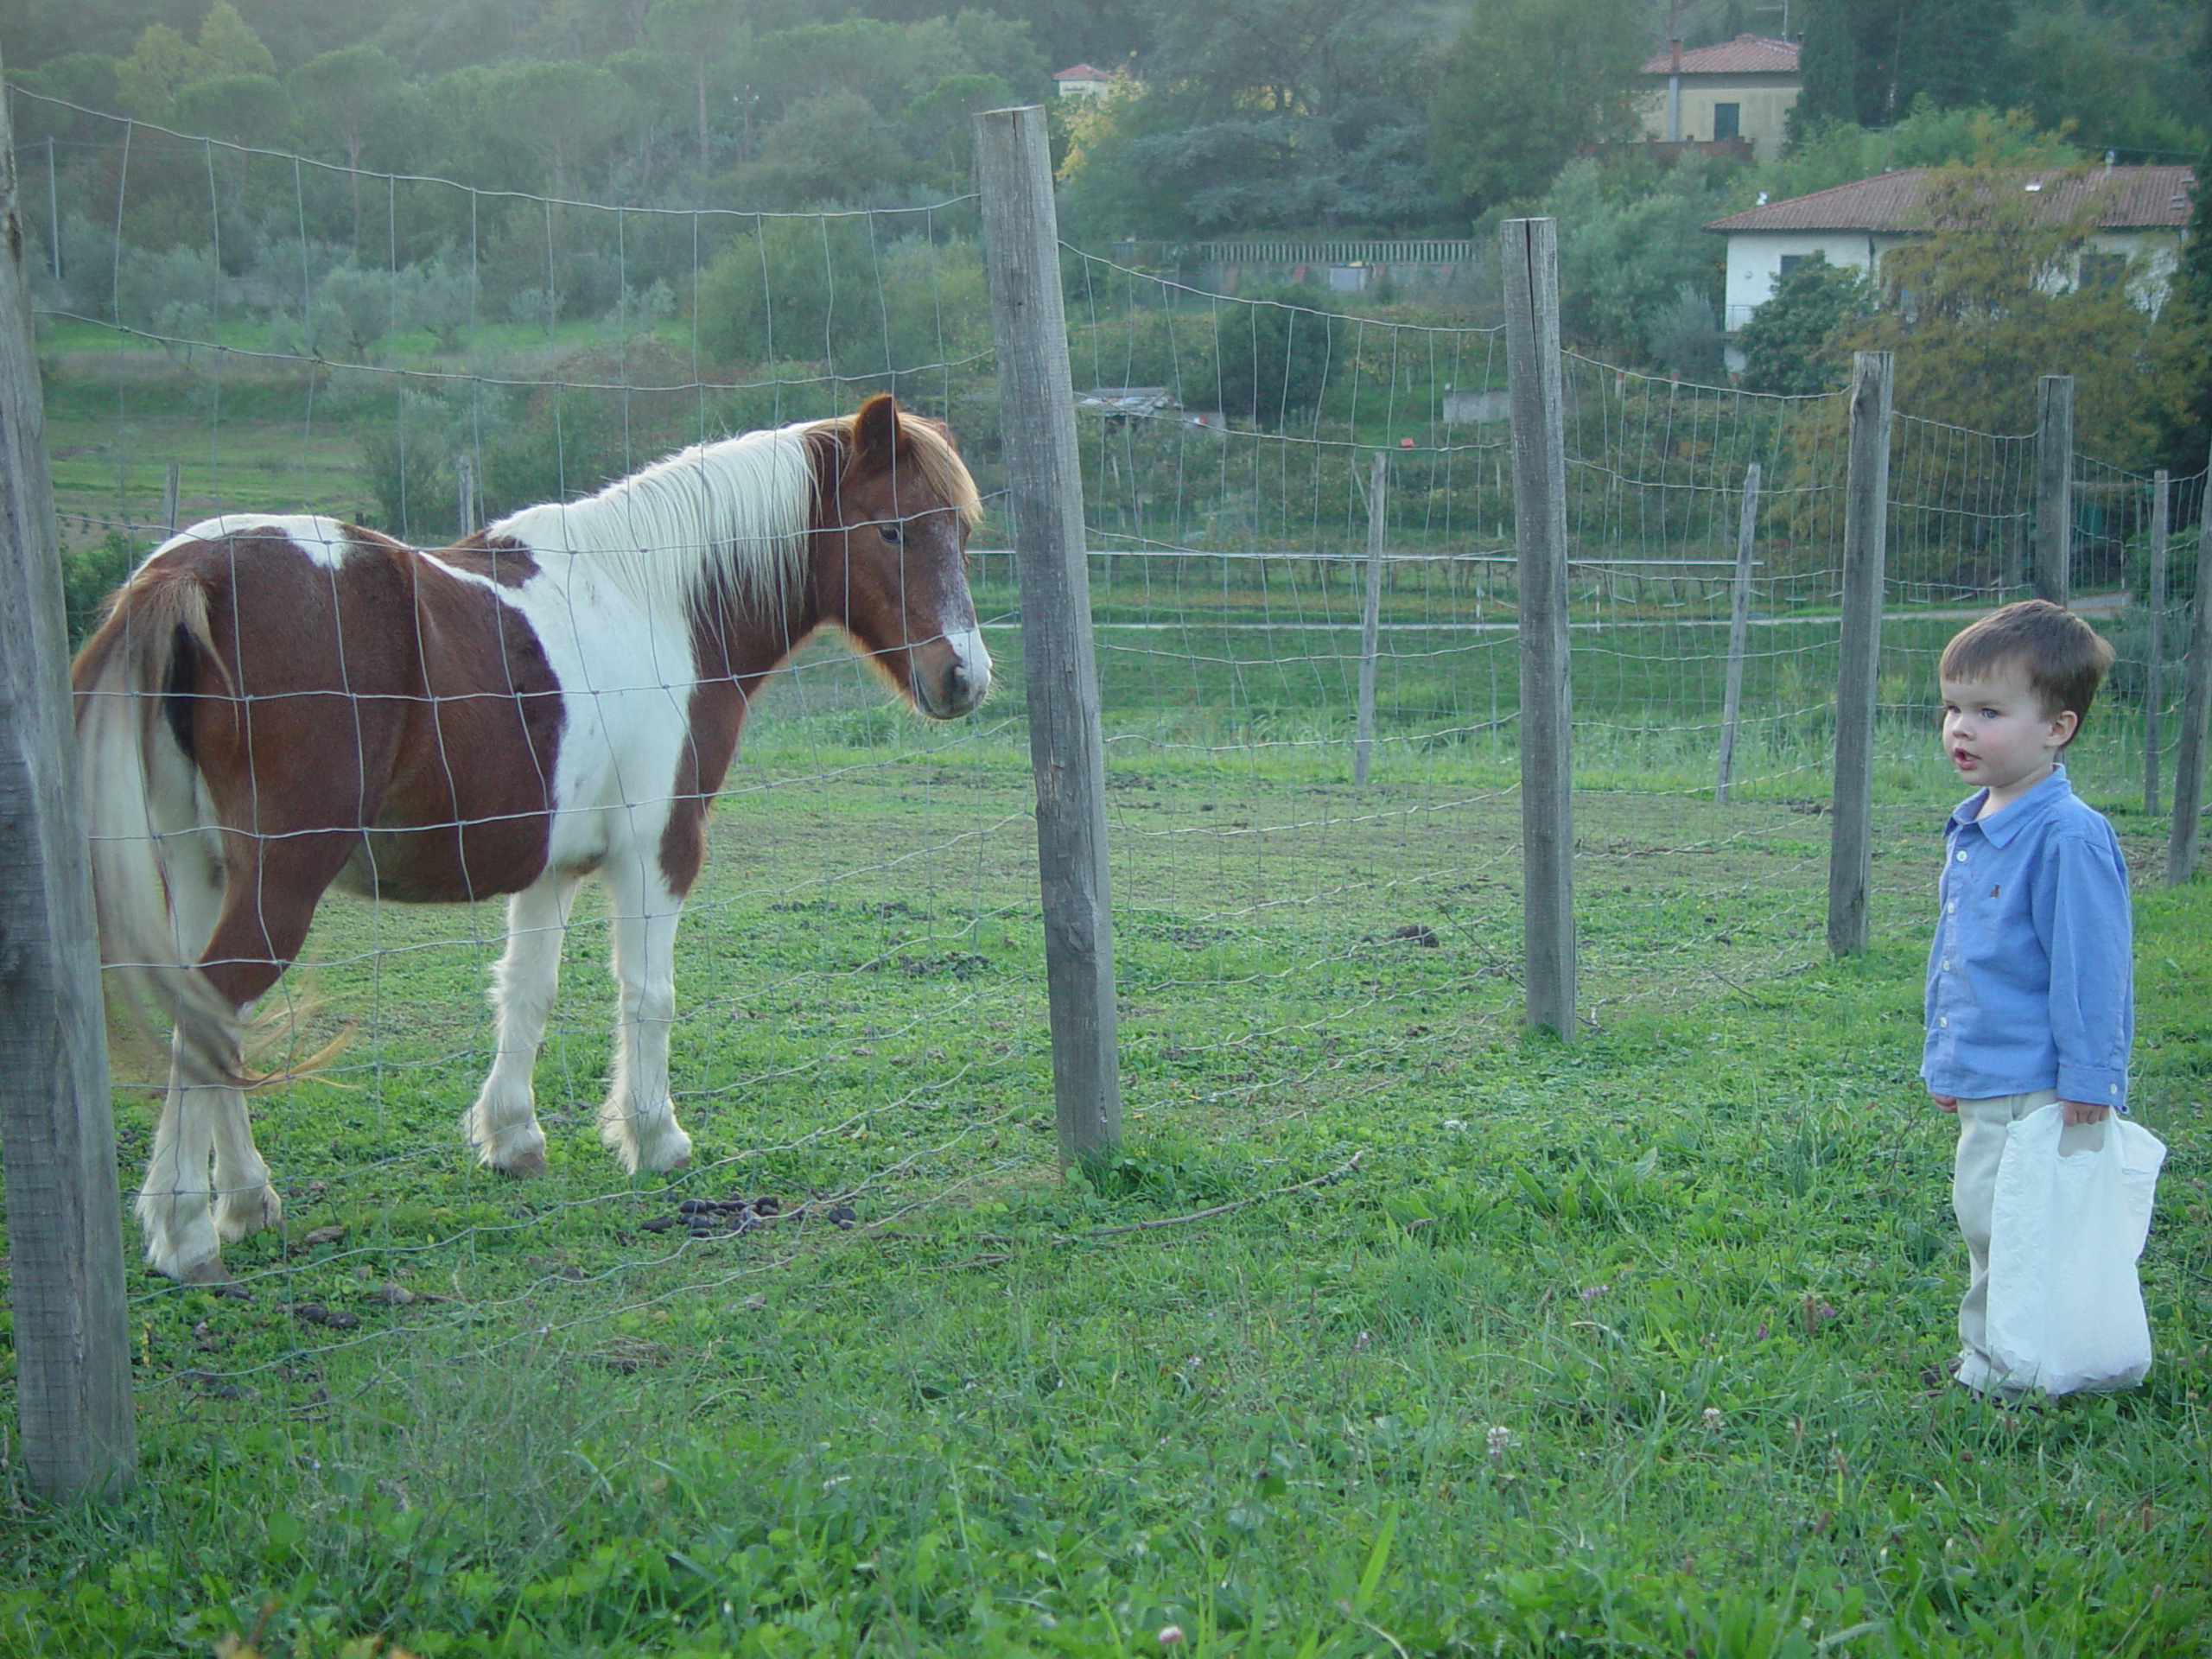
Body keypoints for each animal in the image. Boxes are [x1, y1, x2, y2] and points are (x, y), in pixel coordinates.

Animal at [71, 393, 986, 1282]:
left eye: (962, 532)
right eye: (893, 528)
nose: (964, 679)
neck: (656, 602)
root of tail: (187, 571)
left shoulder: (552, 867)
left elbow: (525, 992)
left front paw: (512, 1137)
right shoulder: (659, 852)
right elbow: (647, 996)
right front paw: (655, 1138)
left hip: (200, 869)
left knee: (208, 1015)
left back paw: (247, 1200)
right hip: (278, 884)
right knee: (215, 1009)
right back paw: (186, 1230)